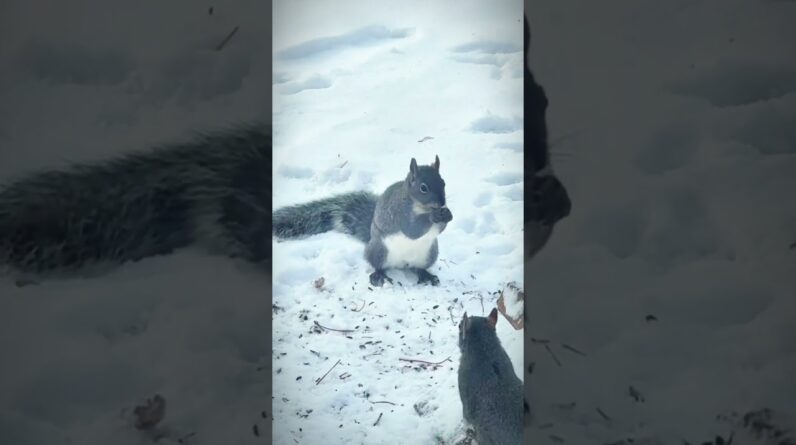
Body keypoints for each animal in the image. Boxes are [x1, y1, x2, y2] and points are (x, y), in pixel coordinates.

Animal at [274, 156, 450, 288]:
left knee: (417, 268)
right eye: (423, 188)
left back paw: (426, 275)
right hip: (379, 251)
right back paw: (379, 276)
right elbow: (412, 230)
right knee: (379, 266)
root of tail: (401, 264)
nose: (442, 203)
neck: (421, 207)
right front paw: (434, 217)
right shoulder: (400, 213)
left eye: (443, 183)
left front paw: (447, 214)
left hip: (429, 254)